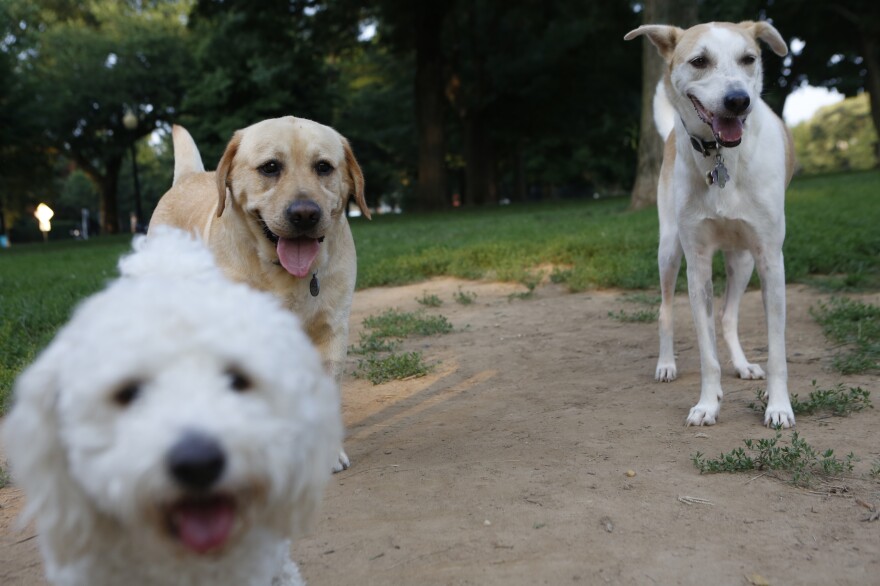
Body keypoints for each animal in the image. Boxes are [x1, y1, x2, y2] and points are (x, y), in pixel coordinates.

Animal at [150, 116, 370, 468]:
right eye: (270, 167)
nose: (305, 214)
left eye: (323, 167)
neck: (284, 277)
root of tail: (189, 177)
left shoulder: (331, 331)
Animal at [624, 21, 796, 424]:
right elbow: (706, 353)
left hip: (743, 260)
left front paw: (779, 407)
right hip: (669, 251)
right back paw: (666, 364)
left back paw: (744, 365)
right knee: (665, 312)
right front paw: (707, 404)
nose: (738, 101)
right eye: (699, 61)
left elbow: (777, 351)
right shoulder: (697, 264)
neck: (722, 156)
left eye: (749, 59)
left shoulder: (770, 259)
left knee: (728, 317)